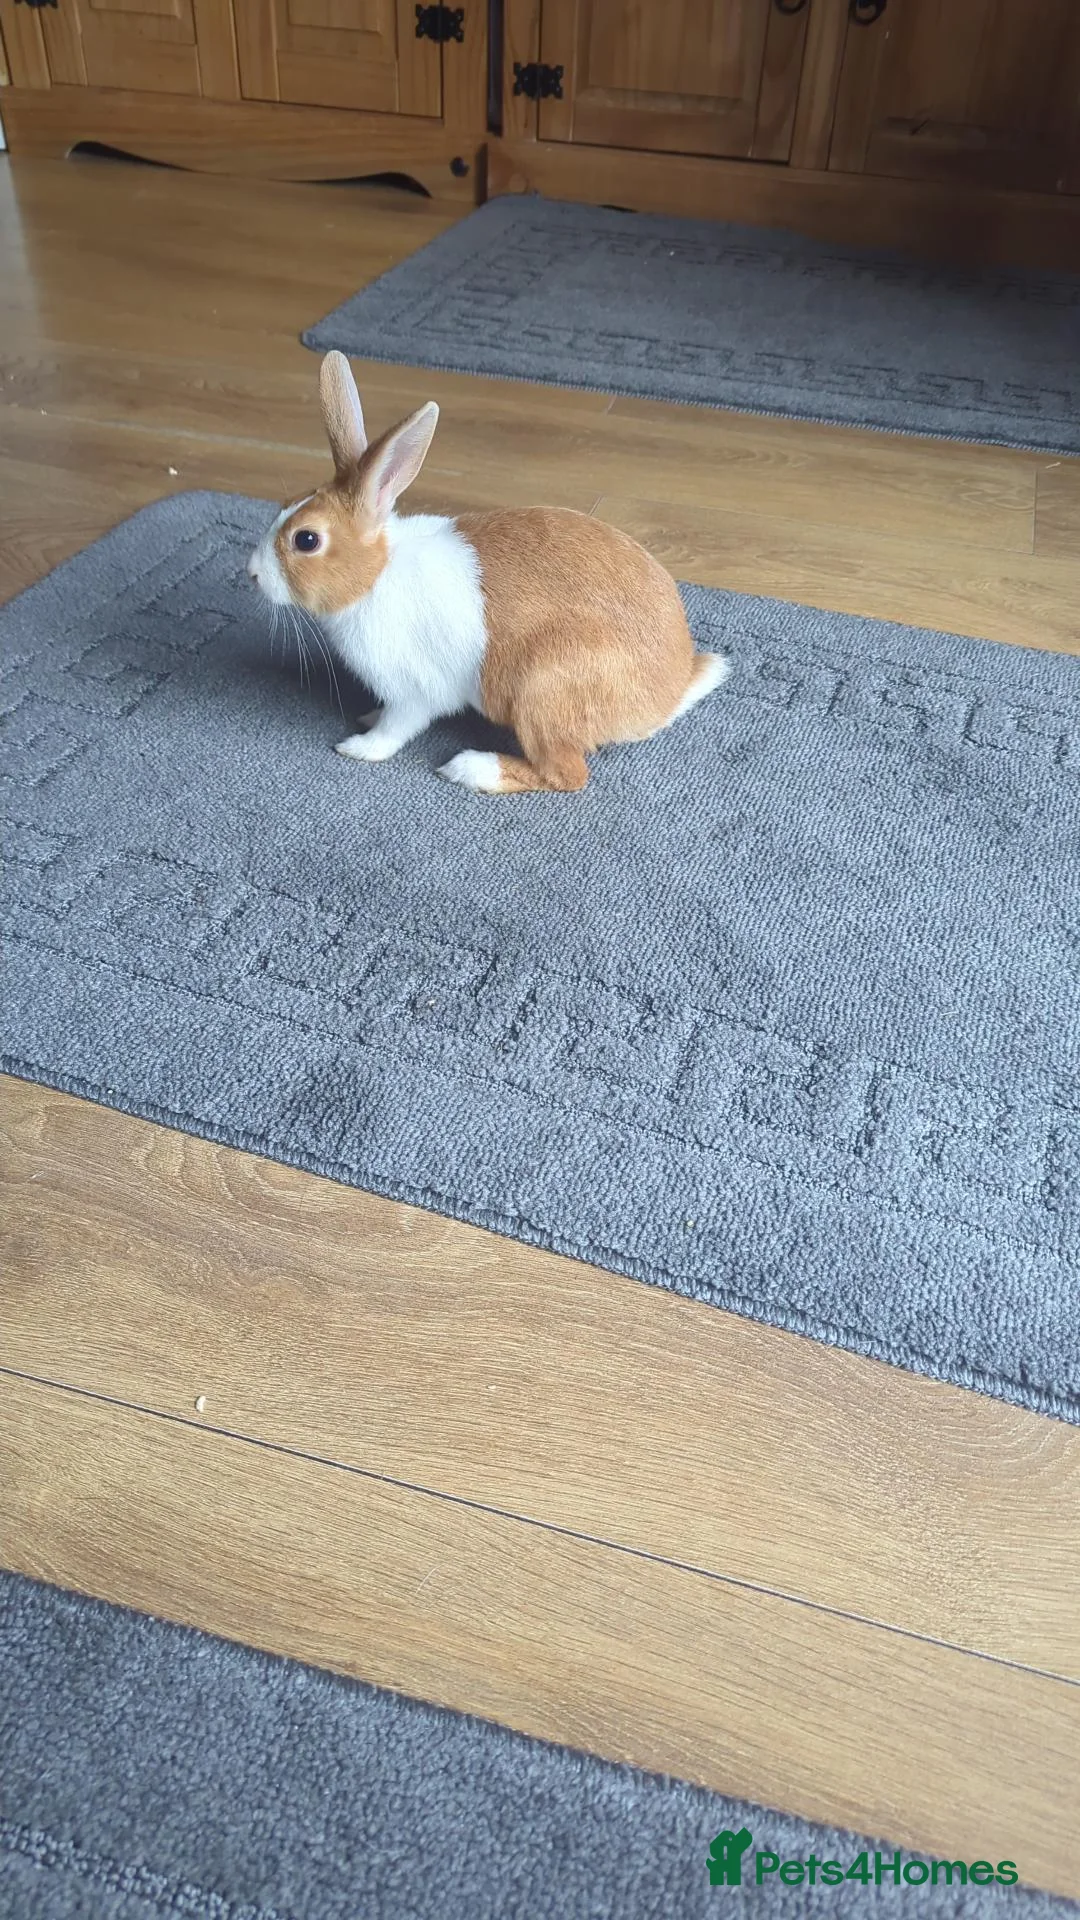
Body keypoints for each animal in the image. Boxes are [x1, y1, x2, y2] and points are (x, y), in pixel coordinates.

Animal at [247, 351, 729, 793]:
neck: (376, 576)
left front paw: (359, 746)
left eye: (306, 540)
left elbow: (397, 728)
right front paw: (367, 714)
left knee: (567, 774)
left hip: (542, 687)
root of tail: (665, 696)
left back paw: (471, 768)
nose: (252, 573)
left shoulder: (415, 692)